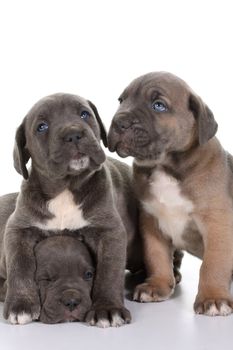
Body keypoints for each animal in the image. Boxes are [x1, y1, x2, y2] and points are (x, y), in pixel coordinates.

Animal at [108, 72, 233, 318]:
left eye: (159, 105)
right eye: (121, 100)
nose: (119, 121)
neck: (165, 166)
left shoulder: (218, 225)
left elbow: (213, 264)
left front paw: (213, 297)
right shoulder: (151, 221)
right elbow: (156, 256)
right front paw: (157, 285)